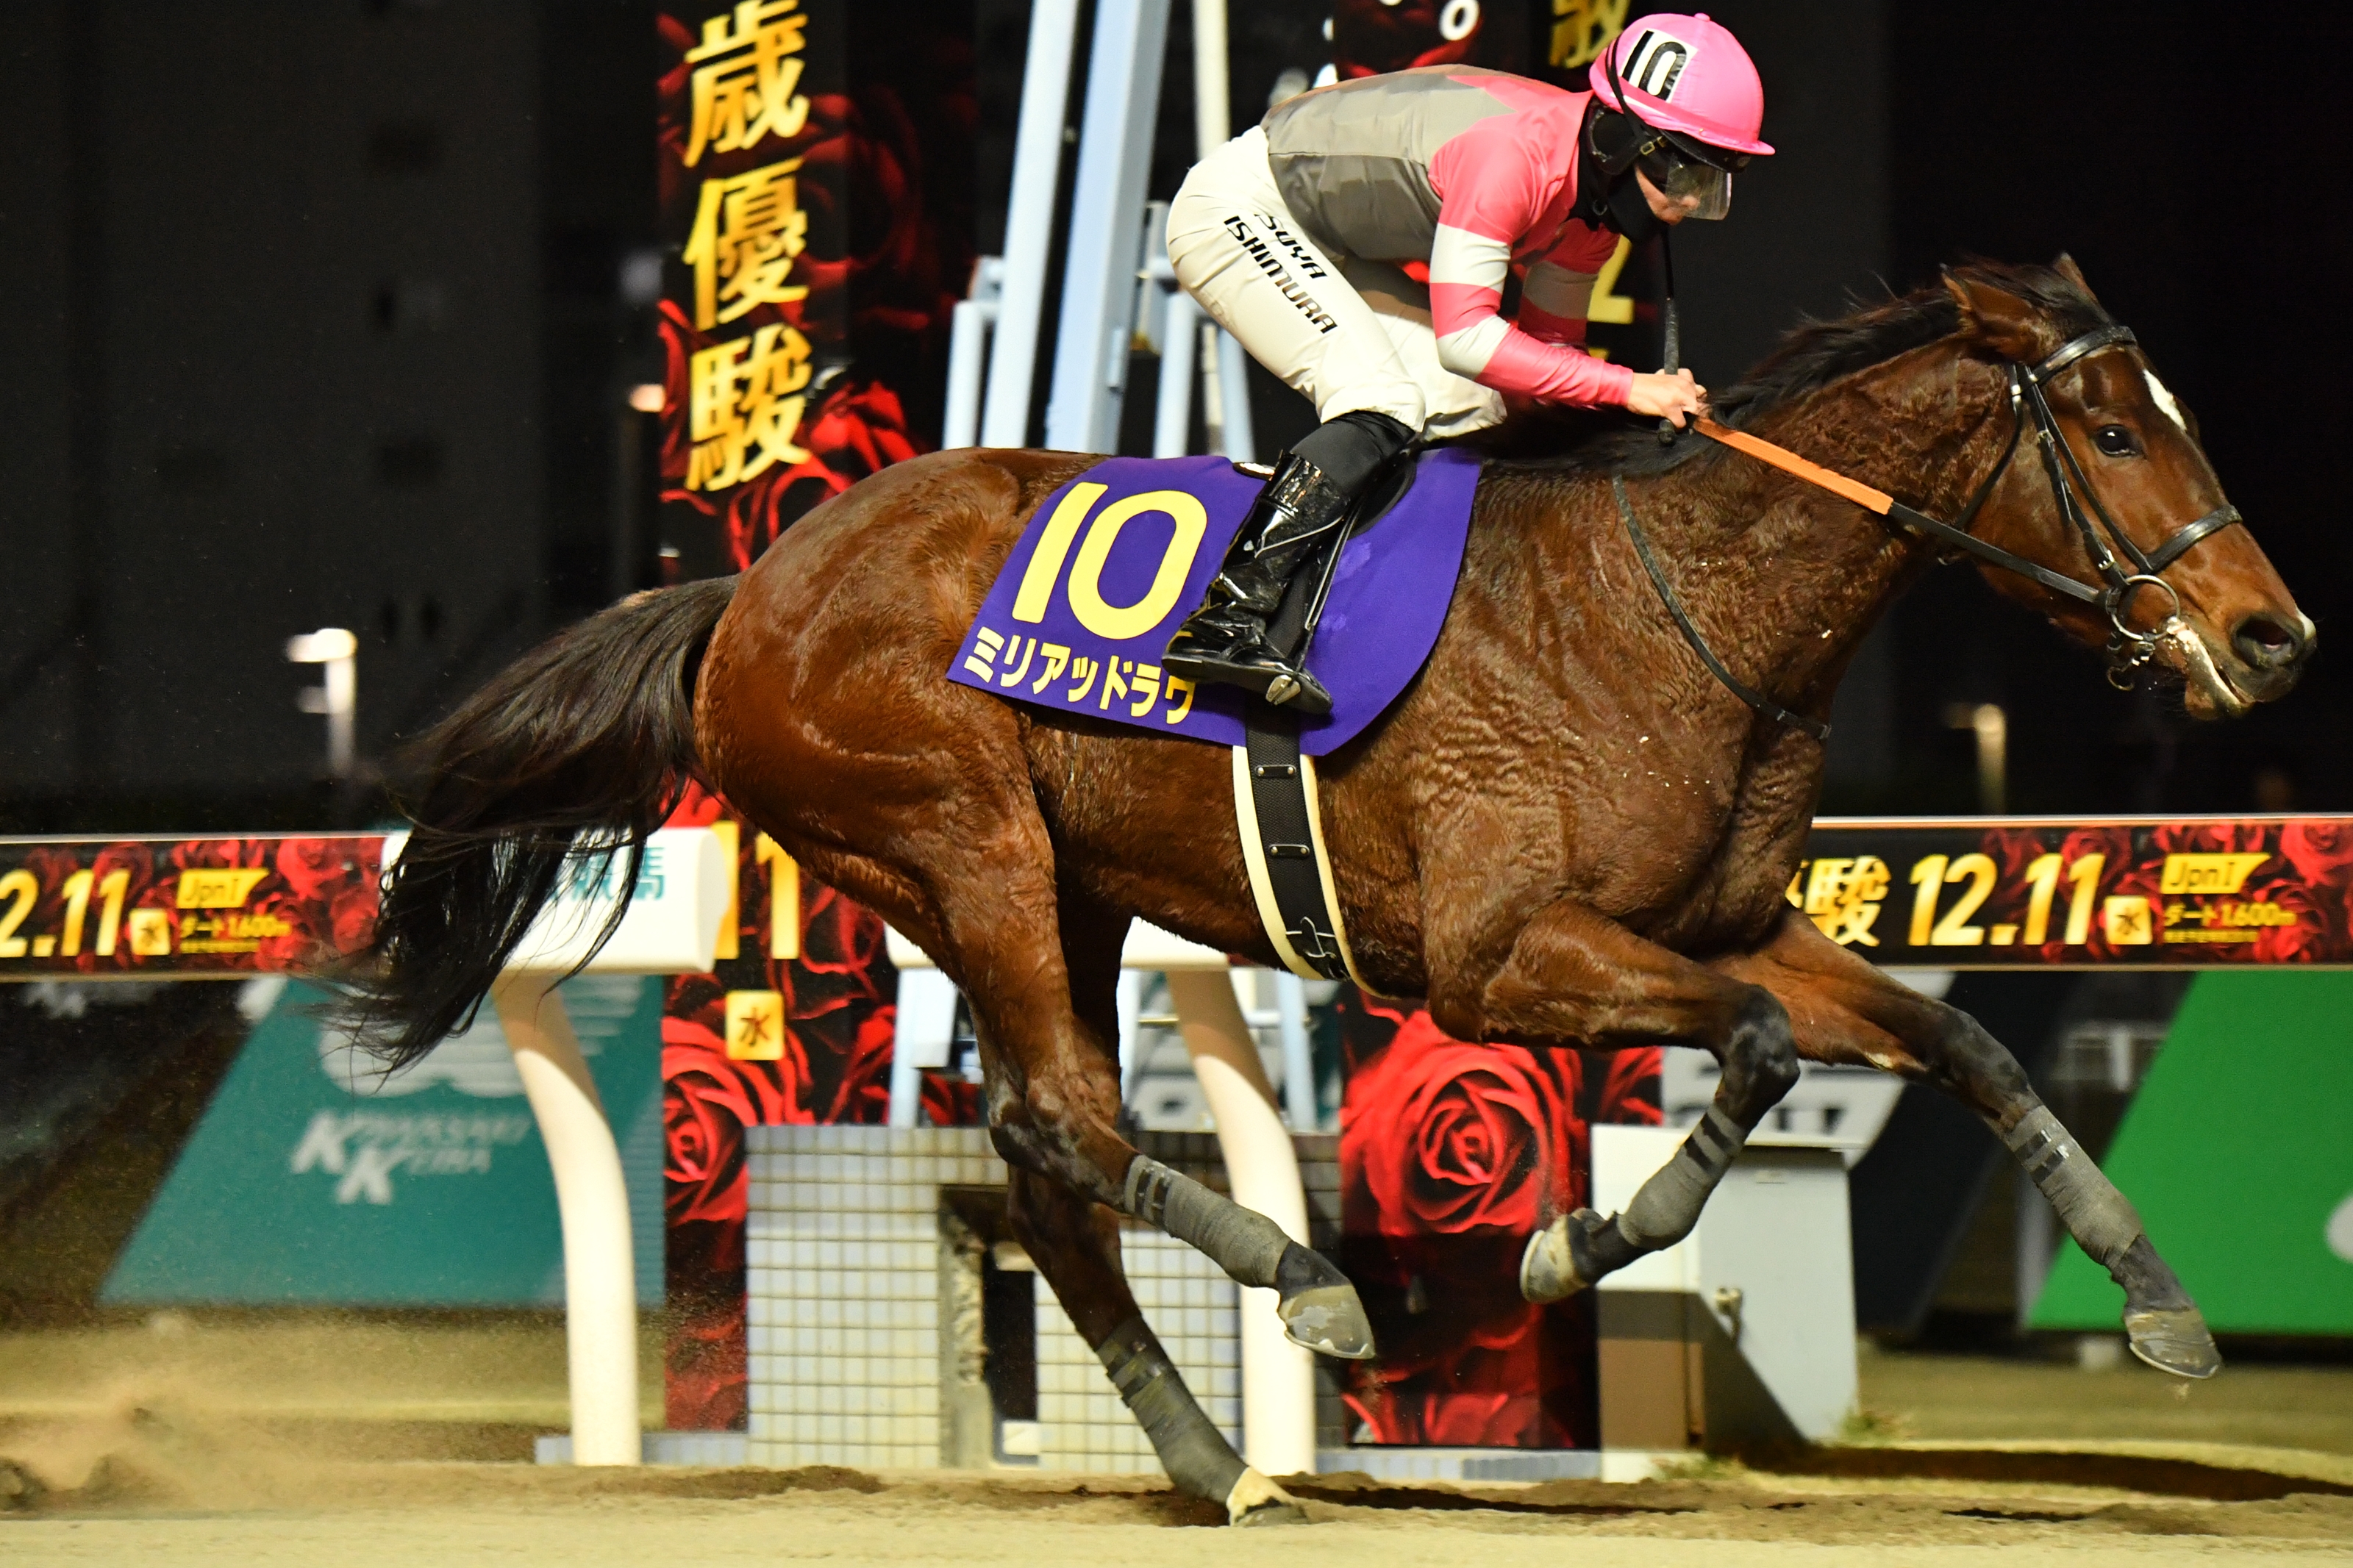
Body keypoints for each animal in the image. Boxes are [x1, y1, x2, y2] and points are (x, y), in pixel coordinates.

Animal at [346, 259, 2309, 1523]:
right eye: (2116, 438)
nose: (2271, 636)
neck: (1684, 606)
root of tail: (748, 588)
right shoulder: (1497, 954)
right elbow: (1751, 1049)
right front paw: (1559, 1242)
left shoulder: (1728, 920)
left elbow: (1957, 1046)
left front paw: (2161, 1301)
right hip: (956, 836)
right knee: (1059, 1116)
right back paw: (1309, 1284)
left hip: (1060, 884)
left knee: (1045, 1157)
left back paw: (1214, 1454)